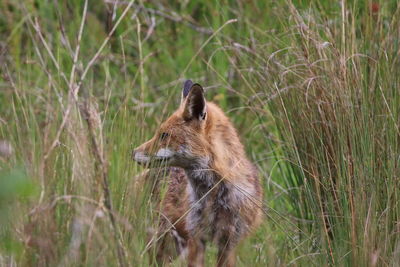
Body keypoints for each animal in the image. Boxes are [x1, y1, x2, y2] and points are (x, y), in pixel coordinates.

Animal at [133, 80, 264, 266]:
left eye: (164, 135)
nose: (133, 152)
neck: (215, 195)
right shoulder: (196, 237)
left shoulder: (230, 242)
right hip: (164, 244)